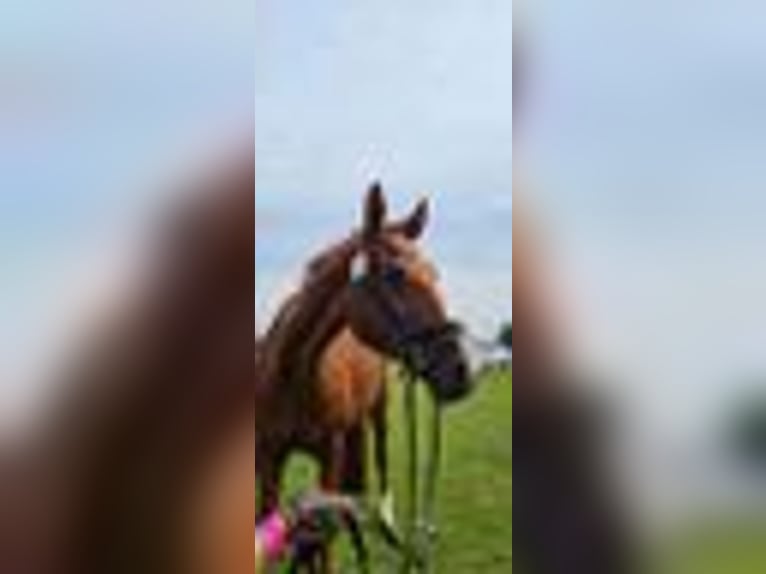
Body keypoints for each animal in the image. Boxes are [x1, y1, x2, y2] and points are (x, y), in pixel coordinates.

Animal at [255, 182, 472, 535]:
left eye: (434, 273)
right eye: (395, 273)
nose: (460, 371)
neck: (294, 374)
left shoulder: (330, 457)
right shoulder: (268, 461)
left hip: (378, 413)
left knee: (381, 460)